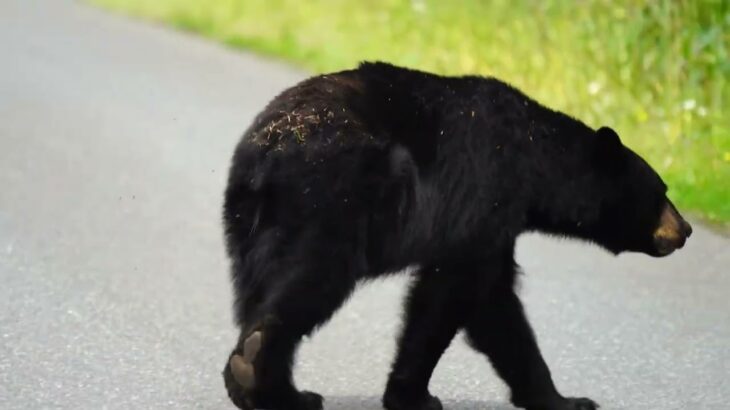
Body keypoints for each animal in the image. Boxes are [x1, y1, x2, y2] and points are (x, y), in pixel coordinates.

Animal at [219, 61, 692, 410]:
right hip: (335, 198)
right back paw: (267, 379)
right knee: (312, 281)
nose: (685, 230)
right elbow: (455, 297)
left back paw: (264, 384)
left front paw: (560, 398)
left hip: (252, 225)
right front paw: (414, 396)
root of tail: (266, 153)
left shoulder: (495, 225)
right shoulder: (483, 199)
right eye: (662, 191)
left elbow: (493, 305)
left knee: (260, 288)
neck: (535, 162)